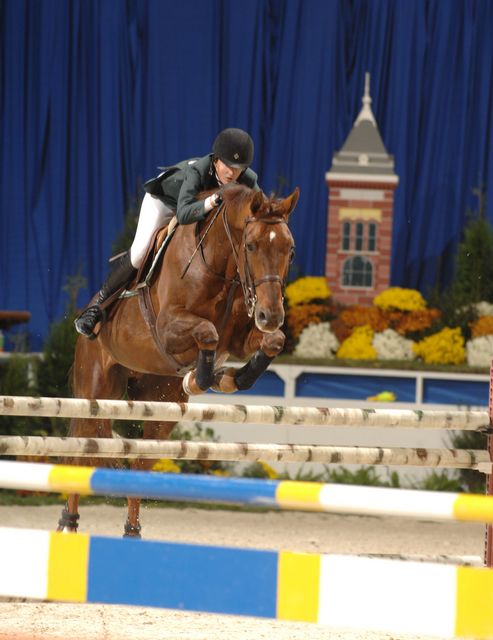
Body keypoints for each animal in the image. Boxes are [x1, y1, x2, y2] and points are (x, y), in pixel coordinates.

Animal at [57, 182, 296, 536]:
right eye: (251, 246)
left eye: (290, 250)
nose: (271, 315)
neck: (220, 266)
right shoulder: (168, 329)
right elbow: (208, 333)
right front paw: (204, 378)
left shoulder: (239, 340)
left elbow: (272, 342)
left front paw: (231, 378)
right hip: (96, 392)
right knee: (81, 454)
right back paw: (69, 524)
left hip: (161, 406)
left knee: (139, 464)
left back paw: (132, 533)